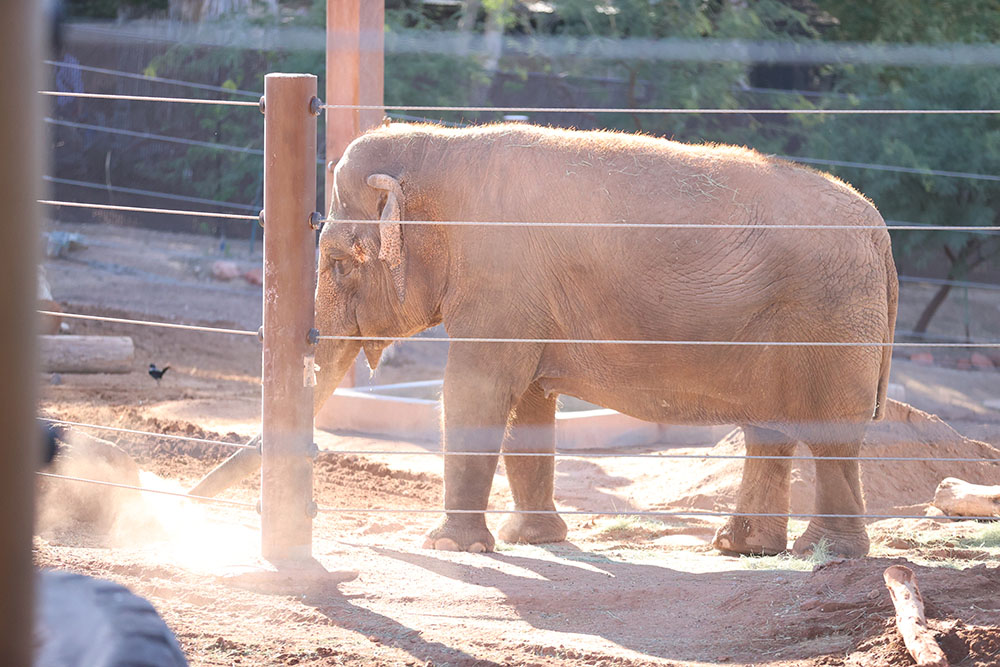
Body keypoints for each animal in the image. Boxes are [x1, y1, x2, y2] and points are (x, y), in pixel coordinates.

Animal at [308, 121, 896, 560]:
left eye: (337, 262)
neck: (438, 145)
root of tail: (879, 231)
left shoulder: (501, 274)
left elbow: (477, 387)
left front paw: (450, 547)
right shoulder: (528, 297)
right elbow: (528, 398)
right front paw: (532, 540)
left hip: (830, 321)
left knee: (830, 436)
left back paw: (823, 554)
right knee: (768, 431)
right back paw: (742, 547)